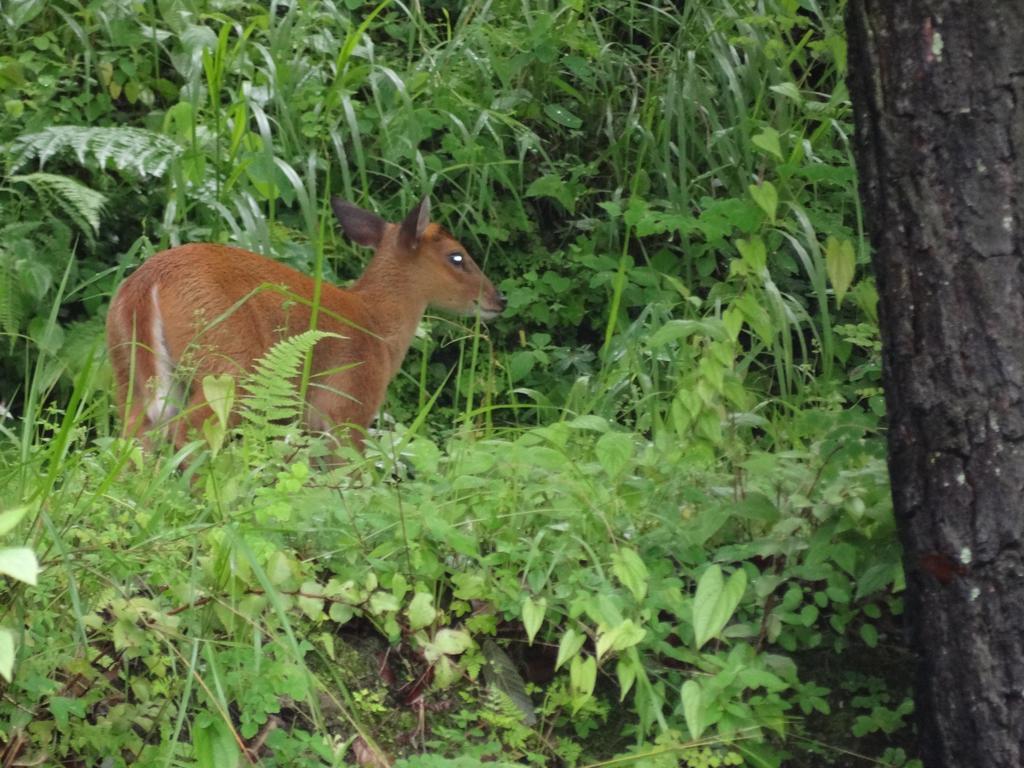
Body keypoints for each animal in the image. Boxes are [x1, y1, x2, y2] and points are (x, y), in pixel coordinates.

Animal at [105, 195, 505, 456]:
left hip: (128, 370)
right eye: (457, 257)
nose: (498, 299)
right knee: (188, 432)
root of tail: (147, 283)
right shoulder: (348, 405)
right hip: (227, 365)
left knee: (135, 437)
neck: (376, 325)